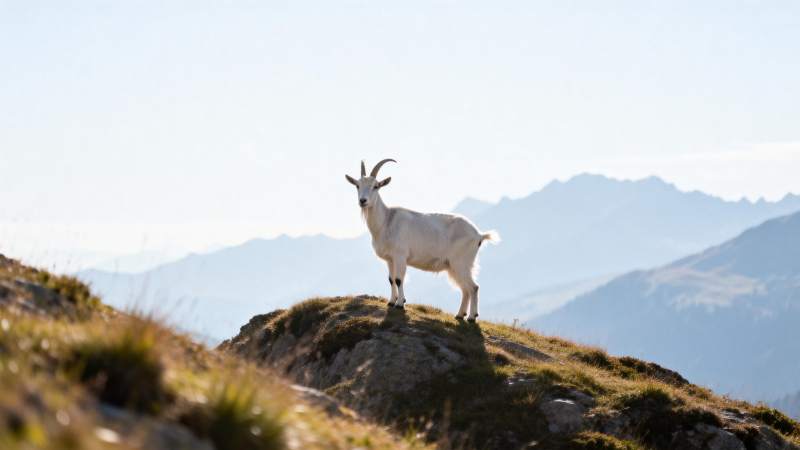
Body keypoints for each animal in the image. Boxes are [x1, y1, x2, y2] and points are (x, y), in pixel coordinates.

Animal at [345, 159, 499, 322]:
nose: (363, 201)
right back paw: (459, 315)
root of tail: (479, 235)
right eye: (357, 185)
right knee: (465, 289)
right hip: (454, 266)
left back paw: (471, 317)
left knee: (473, 287)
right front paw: (391, 302)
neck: (386, 220)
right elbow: (391, 279)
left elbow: (399, 279)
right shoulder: (390, 259)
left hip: (461, 262)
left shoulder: (400, 255)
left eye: (376, 186)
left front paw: (400, 304)